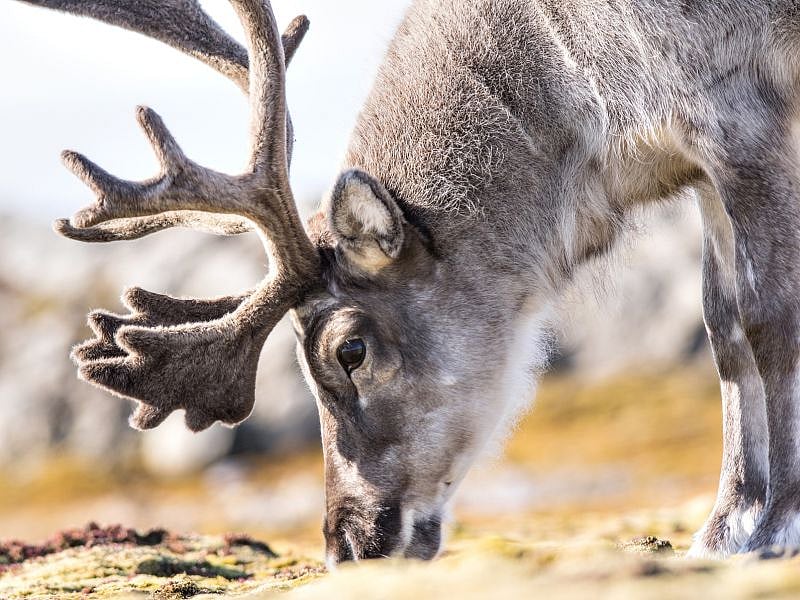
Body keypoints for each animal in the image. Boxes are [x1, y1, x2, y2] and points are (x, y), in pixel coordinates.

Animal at [14, 0, 800, 564]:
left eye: (349, 350)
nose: (347, 545)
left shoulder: (740, 117)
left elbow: (768, 321)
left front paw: (774, 526)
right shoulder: (696, 159)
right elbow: (722, 328)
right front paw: (723, 527)